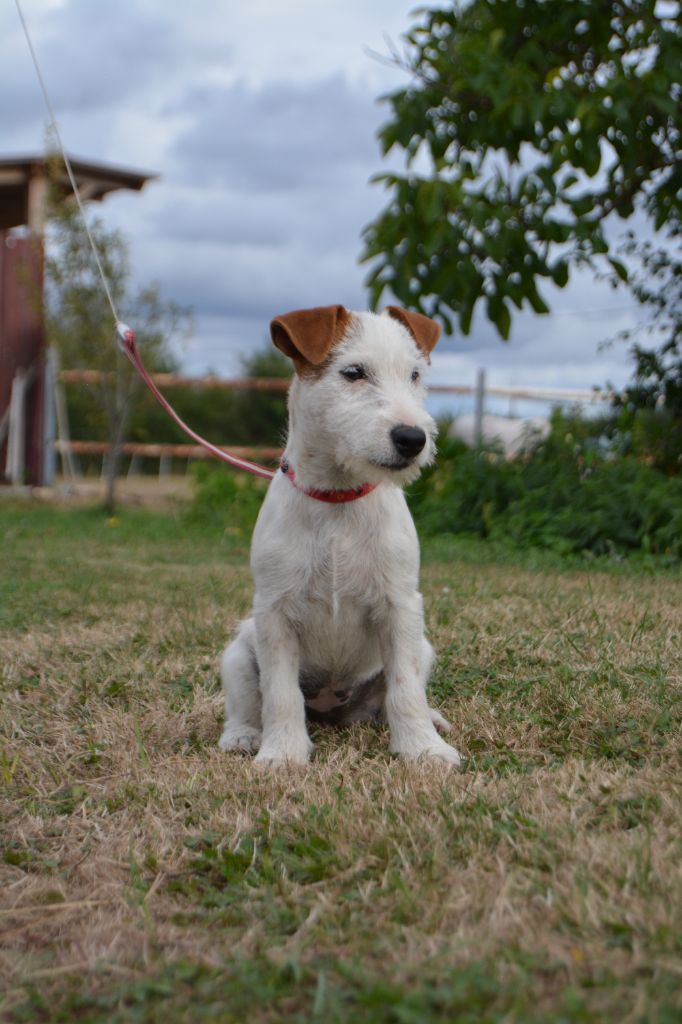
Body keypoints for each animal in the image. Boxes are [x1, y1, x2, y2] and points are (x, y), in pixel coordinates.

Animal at [218, 303, 462, 770]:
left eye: (415, 375)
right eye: (353, 373)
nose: (413, 438)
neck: (338, 499)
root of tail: (331, 709)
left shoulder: (401, 607)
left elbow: (406, 691)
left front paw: (422, 749)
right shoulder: (274, 614)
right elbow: (279, 694)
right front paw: (283, 754)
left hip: (422, 647)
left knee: (400, 695)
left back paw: (432, 721)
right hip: (239, 651)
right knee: (247, 702)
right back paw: (242, 735)